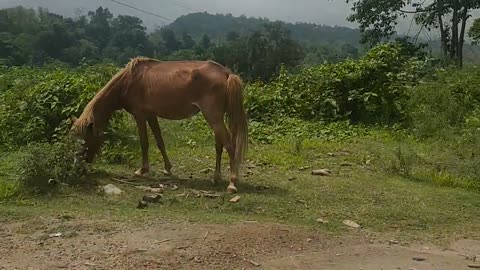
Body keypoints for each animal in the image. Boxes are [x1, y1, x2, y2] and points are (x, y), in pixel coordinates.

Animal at [70, 57, 248, 193]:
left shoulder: (140, 115)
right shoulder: (151, 115)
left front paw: (142, 170)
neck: (128, 81)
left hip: (213, 117)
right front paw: (168, 168)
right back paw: (216, 177)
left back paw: (232, 183)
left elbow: (144, 142)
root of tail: (226, 74)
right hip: (216, 118)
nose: (79, 167)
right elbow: (159, 141)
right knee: (219, 145)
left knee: (230, 146)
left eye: (85, 140)